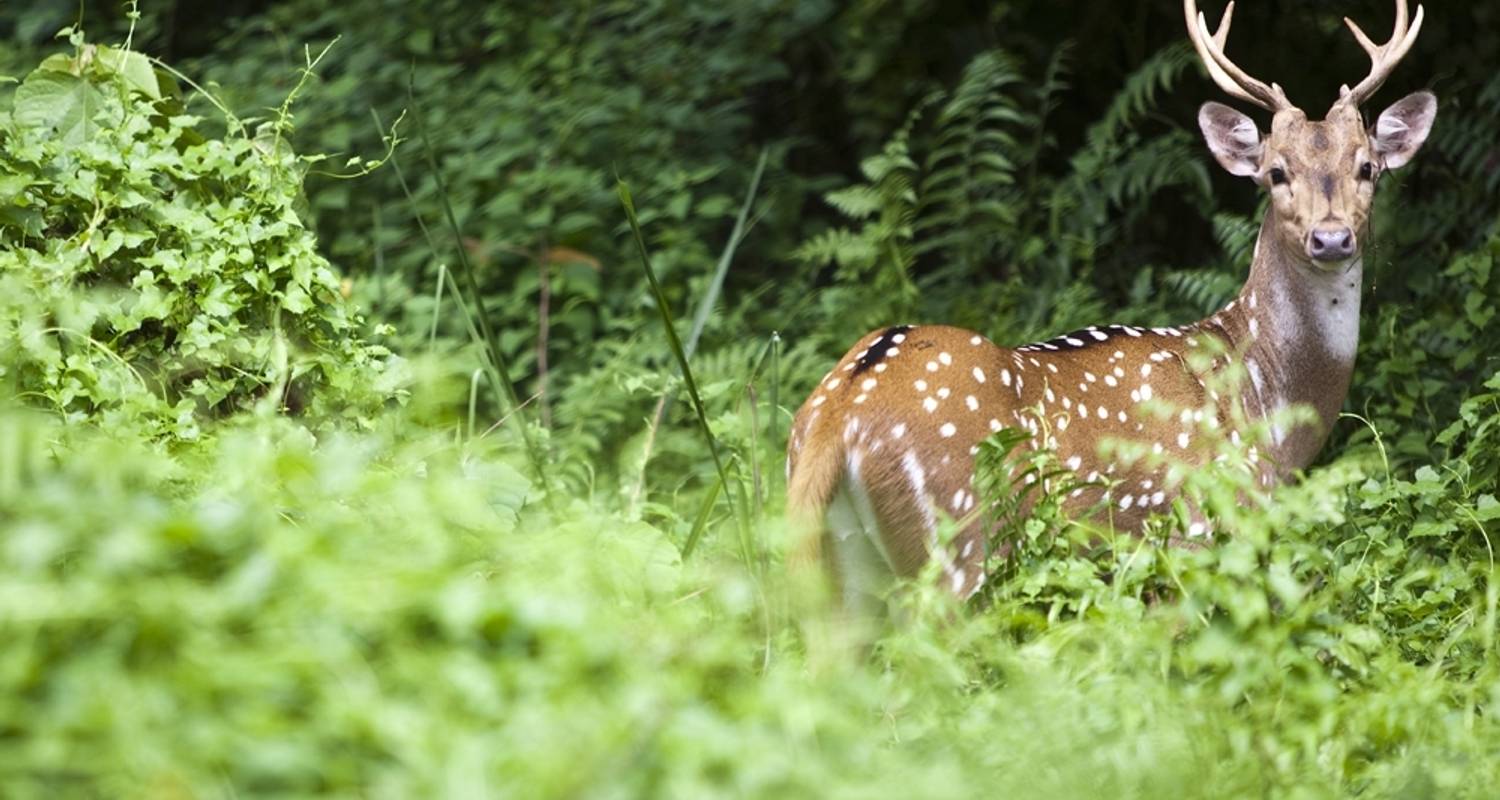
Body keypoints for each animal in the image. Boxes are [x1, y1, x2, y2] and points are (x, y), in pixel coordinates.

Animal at [780, 0, 1434, 606]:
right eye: (1275, 172)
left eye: (1368, 167)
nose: (1331, 238)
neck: (1264, 404)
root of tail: (836, 415)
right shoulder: (1196, 524)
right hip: (954, 541)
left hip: (843, 566)